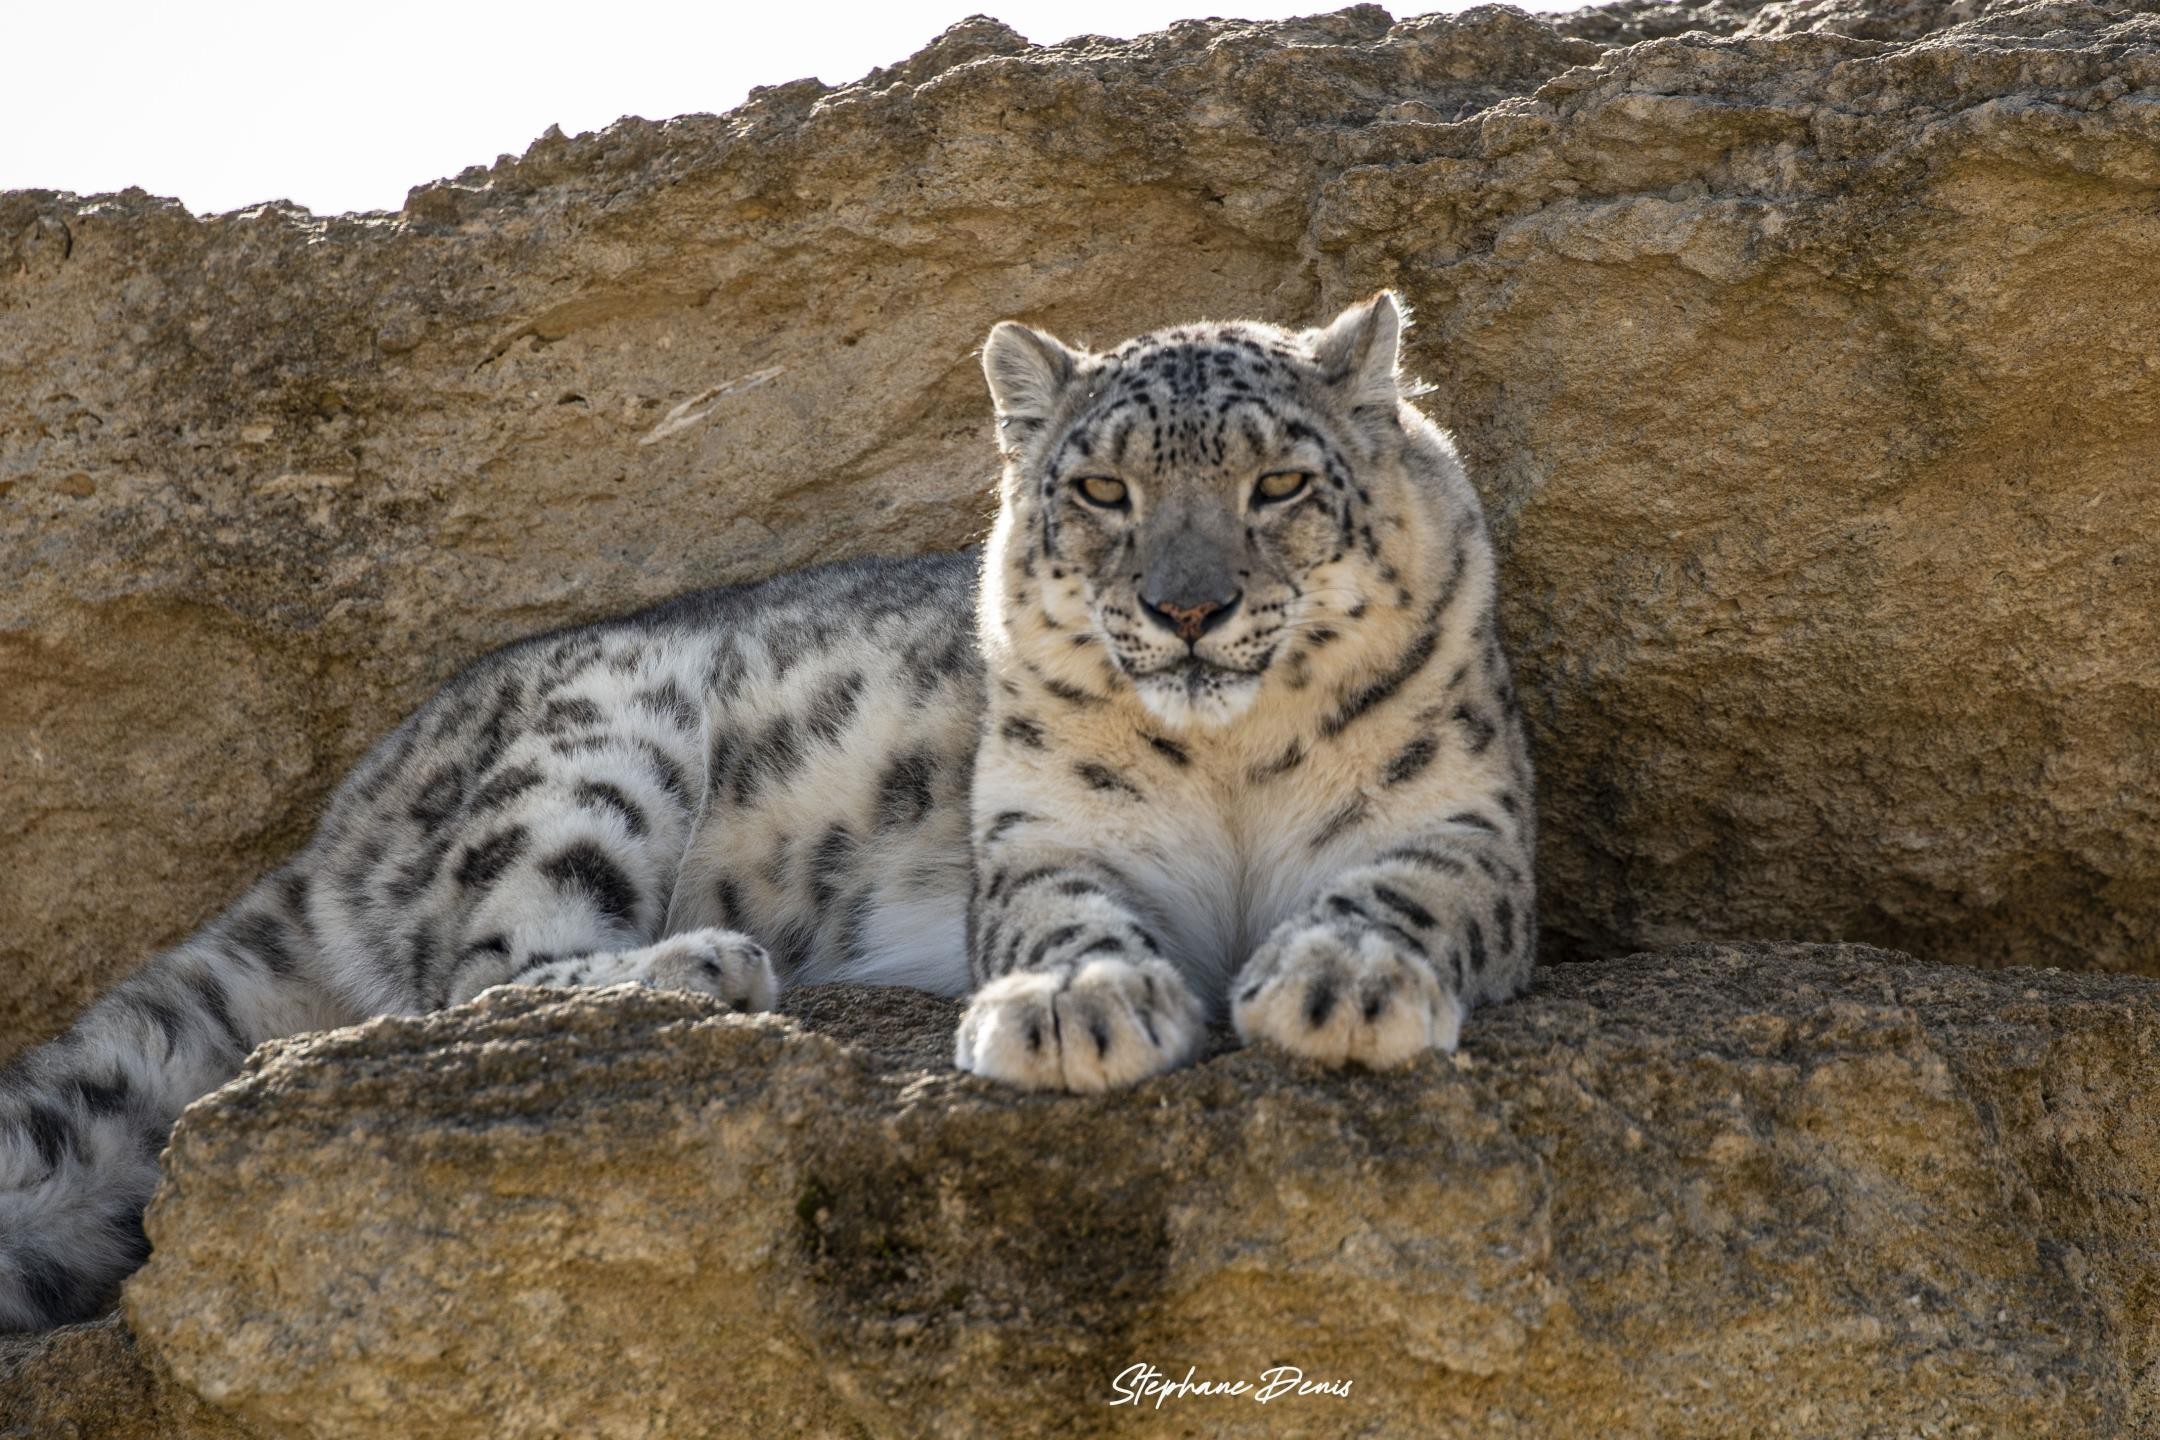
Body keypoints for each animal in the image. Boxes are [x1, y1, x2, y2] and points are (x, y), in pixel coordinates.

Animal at [0, 293, 1537, 1329]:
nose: (1189, 608)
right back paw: (699, 966)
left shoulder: (1470, 821)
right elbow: (1067, 918)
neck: (1228, 770)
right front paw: (1070, 1014)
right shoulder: (1044, 836)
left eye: (1278, 482)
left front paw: (1342, 985)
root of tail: (345, 817)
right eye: (1105, 488)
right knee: (469, 981)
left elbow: (1407, 891)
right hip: (594, 751)